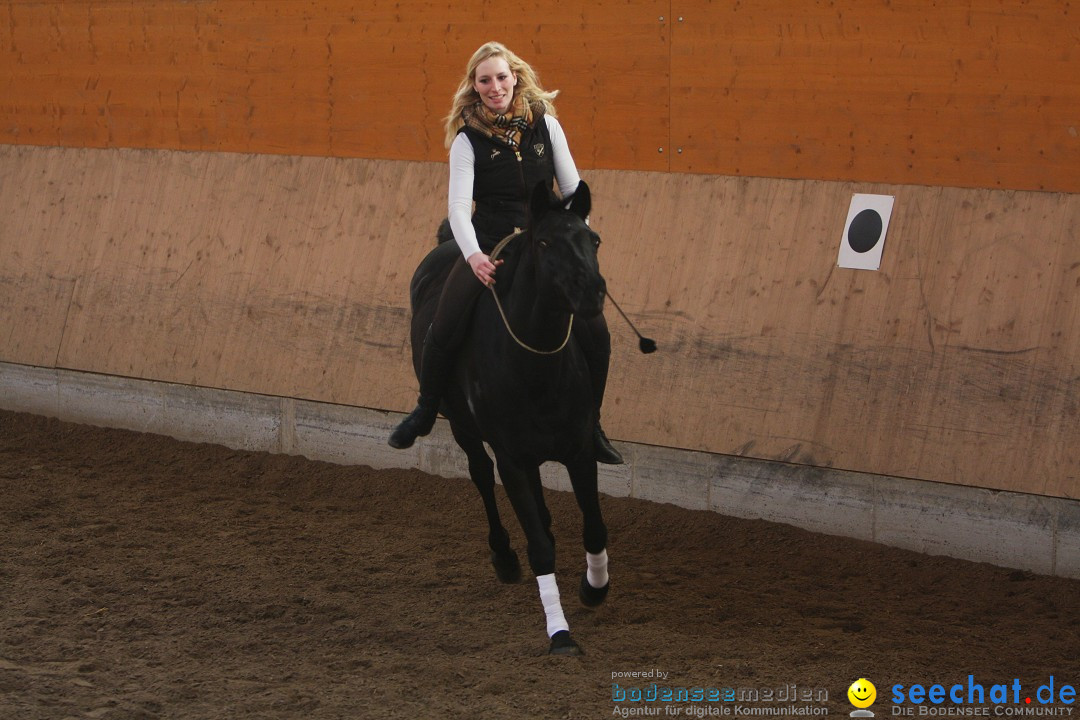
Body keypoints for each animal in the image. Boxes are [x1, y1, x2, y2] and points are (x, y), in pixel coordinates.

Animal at [406, 181, 613, 660]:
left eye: (593, 240)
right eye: (544, 243)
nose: (593, 293)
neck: (537, 364)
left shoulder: (578, 451)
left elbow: (595, 529)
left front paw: (594, 587)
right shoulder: (511, 459)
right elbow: (538, 550)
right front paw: (560, 633)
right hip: (462, 426)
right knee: (481, 474)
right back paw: (503, 555)